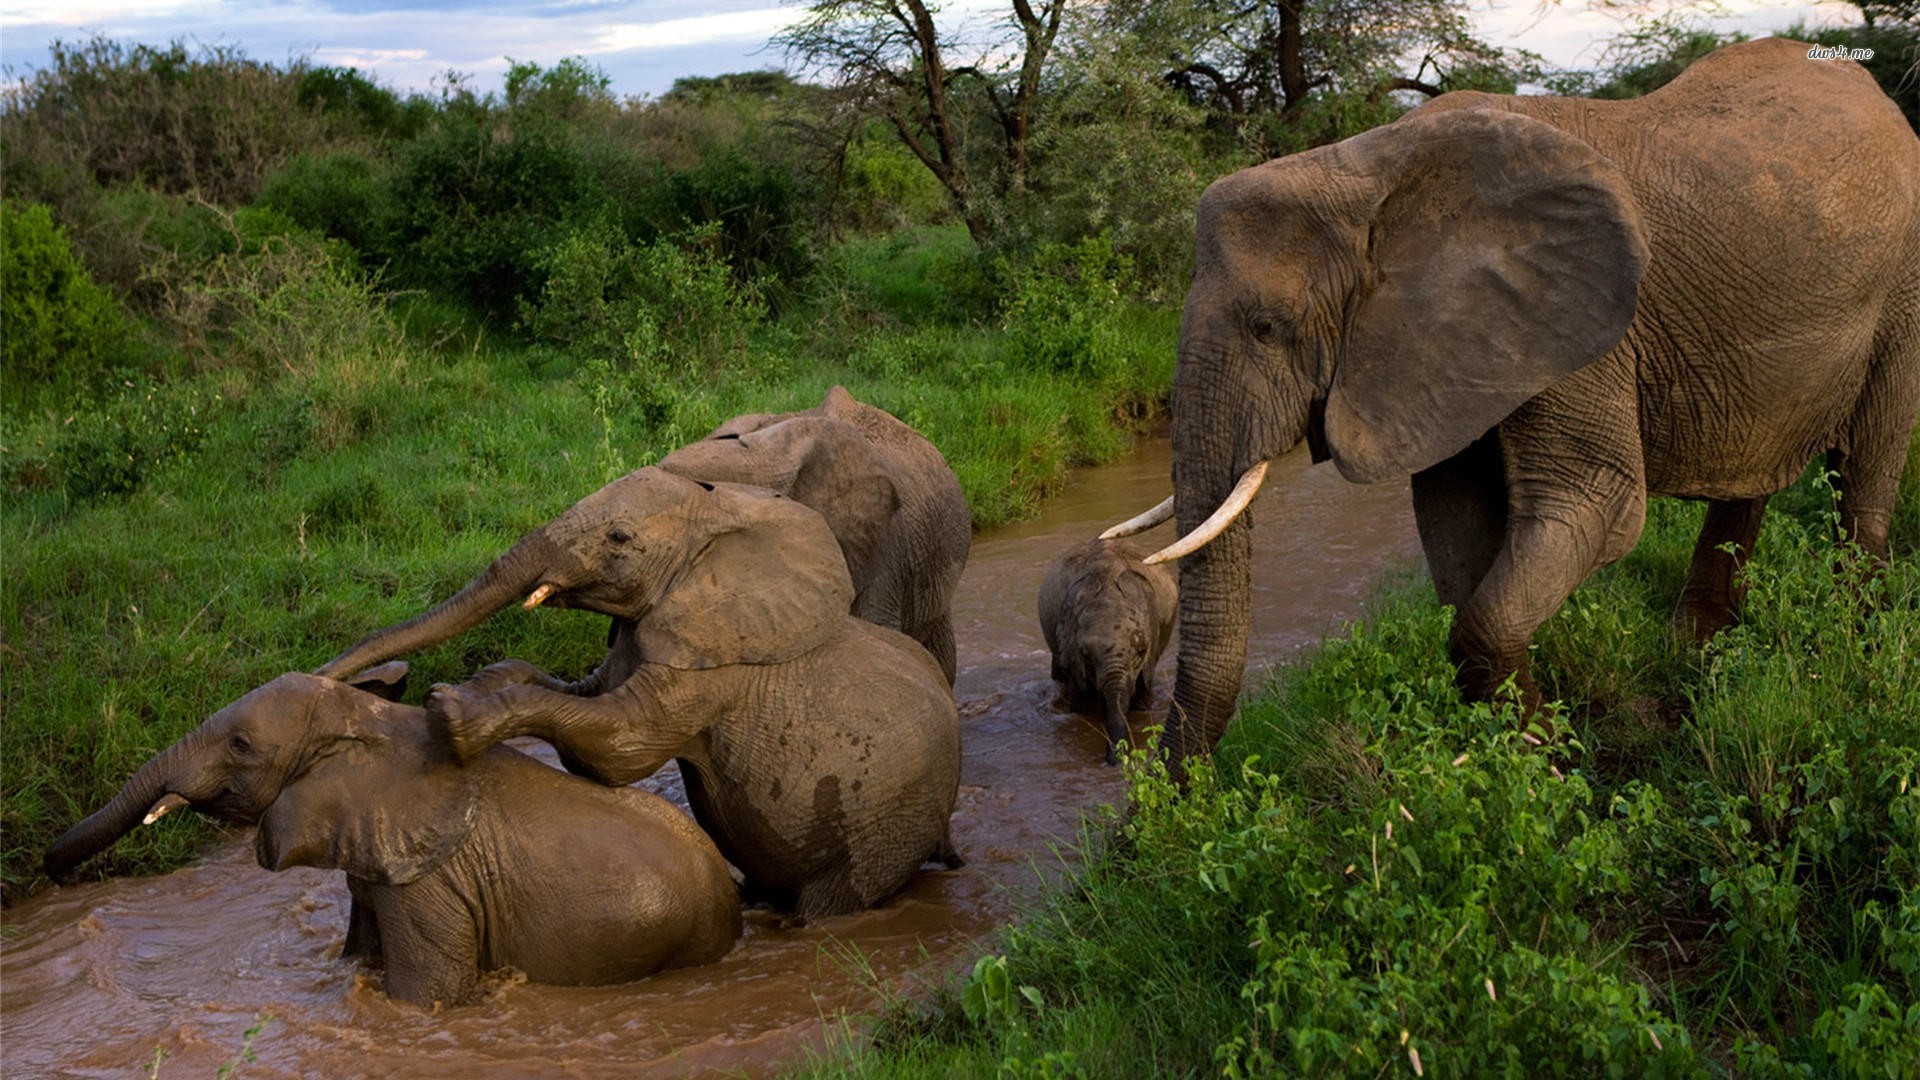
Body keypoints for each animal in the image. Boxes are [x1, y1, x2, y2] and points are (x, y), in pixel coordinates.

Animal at [41, 664, 742, 1007]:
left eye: (240, 745)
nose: (52, 870)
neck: (366, 717)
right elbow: (358, 958)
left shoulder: (430, 879)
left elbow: (423, 997)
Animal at [314, 468, 964, 919]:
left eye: (619, 538)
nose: (328, 675)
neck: (719, 516)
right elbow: (580, 690)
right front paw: (477, 683)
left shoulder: (712, 662)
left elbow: (620, 748)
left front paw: (450, 714)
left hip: (884, 825)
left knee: (834, 900)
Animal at [1104, 38, 1920, 764]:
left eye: (1268, 328)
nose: (1163, 798)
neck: (1362, 171)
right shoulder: (1447, 351)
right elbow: (1458, 532)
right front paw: (1529, 751)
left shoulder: (1574, 328)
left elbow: (1596, 507)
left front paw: (1551, 760)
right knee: (1751, 476)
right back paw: (1699, 649)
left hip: (1903, 284)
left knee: (1867, 468)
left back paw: (1852, 646)